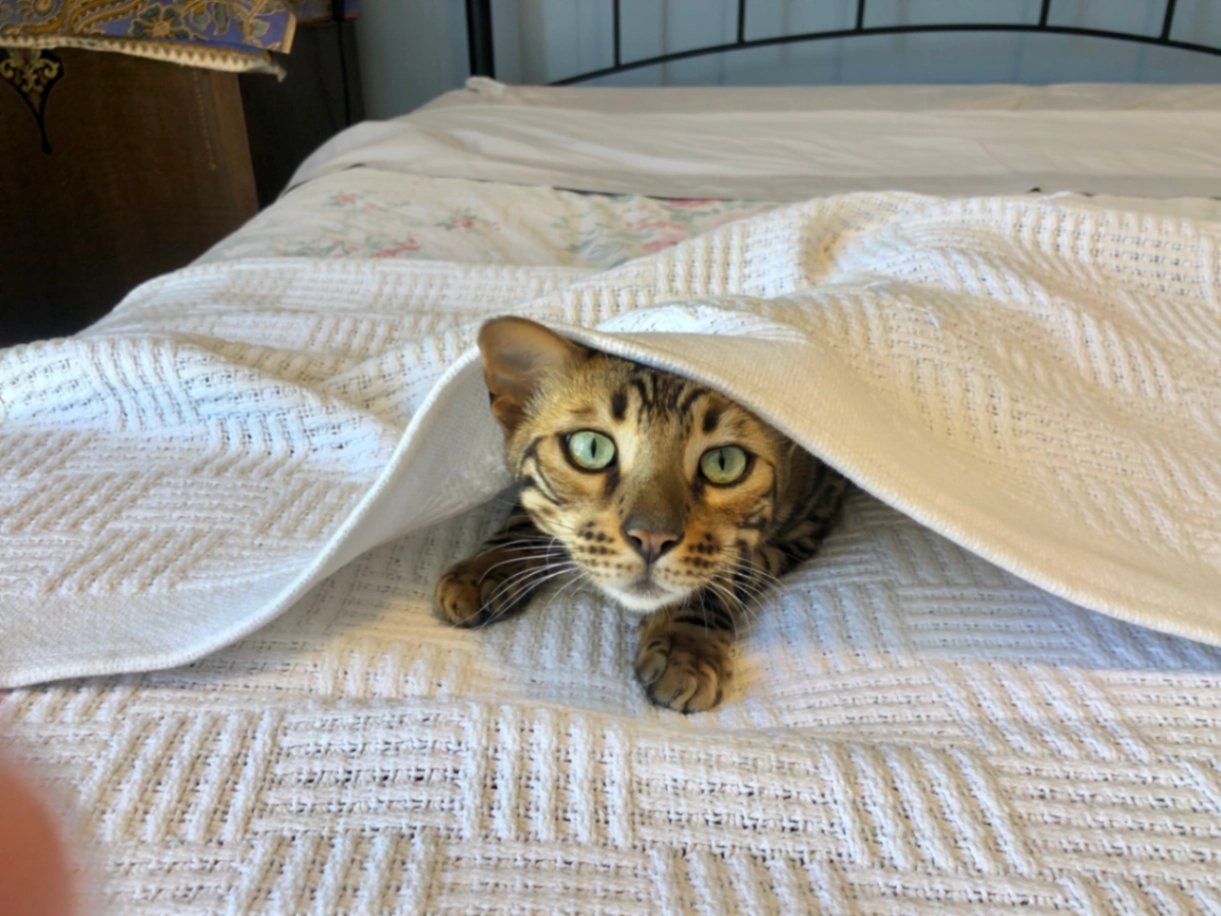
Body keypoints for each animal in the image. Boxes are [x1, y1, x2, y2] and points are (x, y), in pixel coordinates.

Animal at [434, 316, 848, 712]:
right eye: (591, 448)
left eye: (724, 462)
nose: (651, 538)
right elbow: (525, 516)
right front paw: (486, 566)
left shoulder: (811, 519)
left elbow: (725, 573)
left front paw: (685, 647)